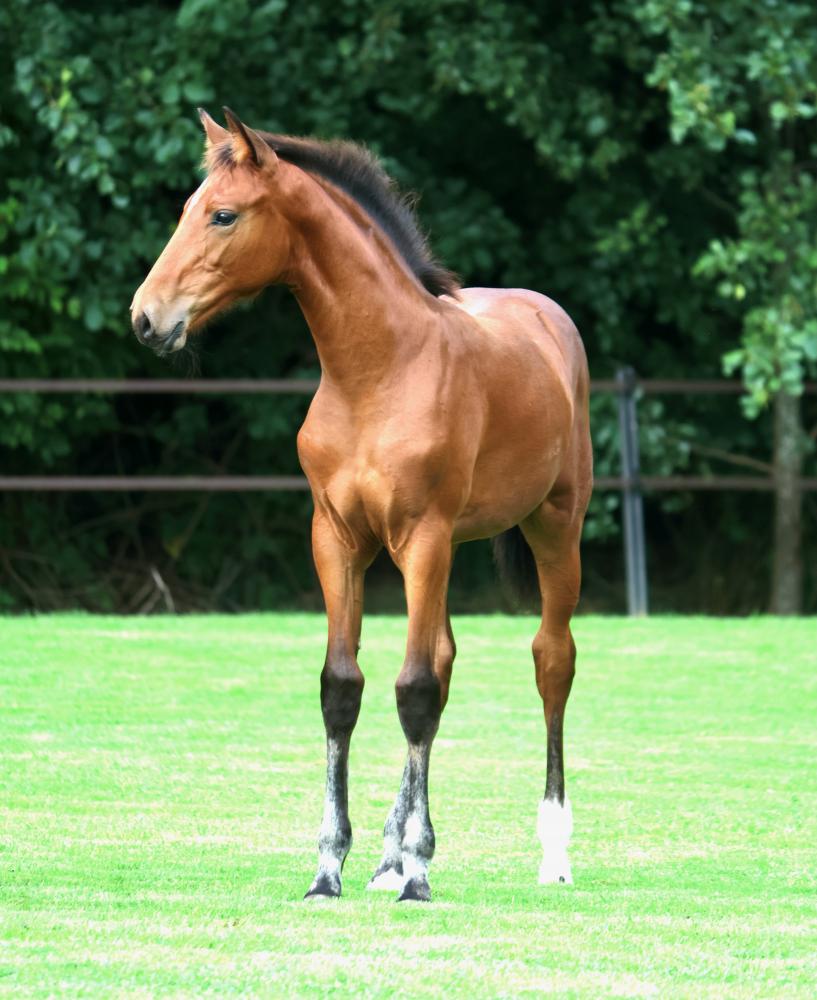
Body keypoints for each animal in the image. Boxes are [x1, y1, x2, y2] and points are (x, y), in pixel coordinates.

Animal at [131, 108, 592, 902]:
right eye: (187, 209)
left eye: (223, 214)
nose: (146, 318)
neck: (377, 372)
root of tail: (548, 317)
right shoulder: (336, 537)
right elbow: (344, 687)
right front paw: (333, 866)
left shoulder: (424, 536)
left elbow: (413, 689)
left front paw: (417, 873)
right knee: (444, 657)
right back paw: (391, 853)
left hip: (554, 526)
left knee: (549, 660)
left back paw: (551, 853)